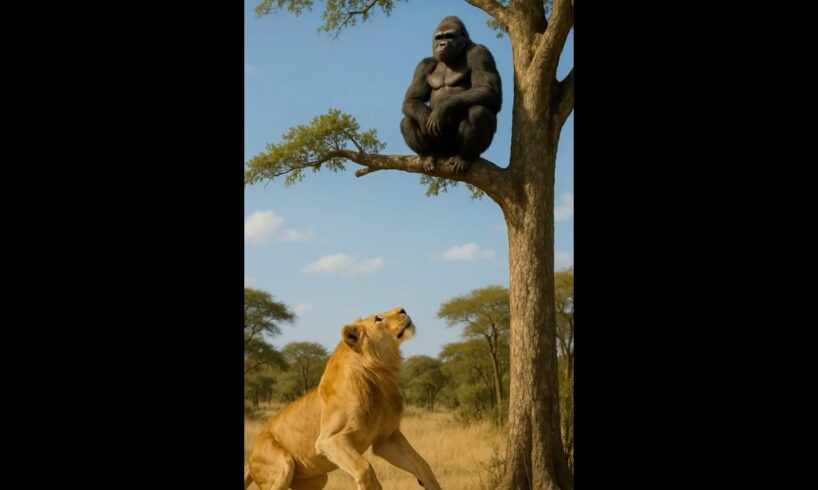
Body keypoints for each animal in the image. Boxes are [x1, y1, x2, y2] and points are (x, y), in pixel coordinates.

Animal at [244, 307, 443, 490]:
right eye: (377, 318)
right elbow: (364, 468)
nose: (403, 310)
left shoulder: (387, 438)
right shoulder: (329, 439)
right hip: (283, 465)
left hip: (317, 479)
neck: (380, 374)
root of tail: (251, 455)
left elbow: (422, 465)